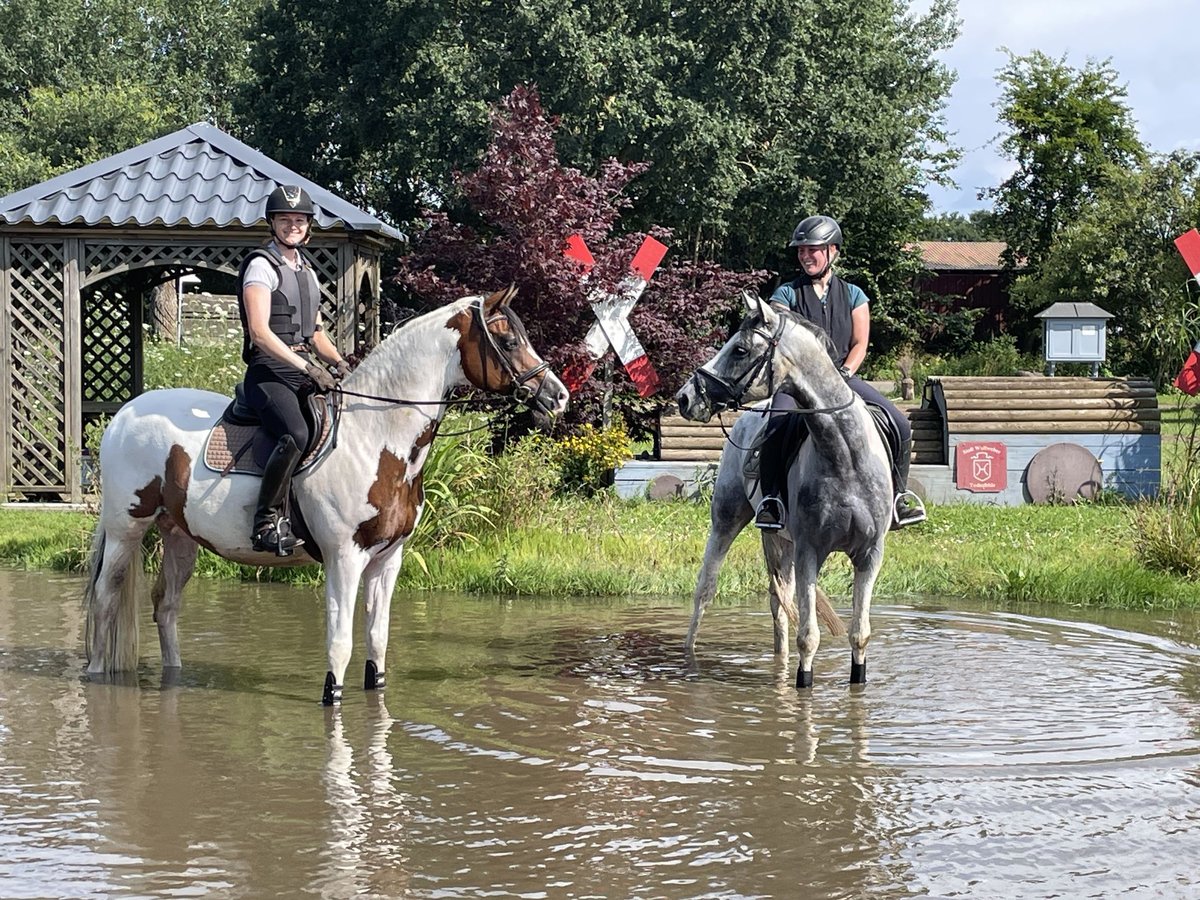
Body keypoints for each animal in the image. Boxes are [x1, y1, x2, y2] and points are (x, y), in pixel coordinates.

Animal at [83, 289, 566, 705]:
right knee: (106, 599)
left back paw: (175, 676)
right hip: (127, 529)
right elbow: (340, 645)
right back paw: (97, 673)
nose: (558, 396)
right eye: (508, 340)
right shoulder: (344, 559)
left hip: (180, 535)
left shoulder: (387, 559)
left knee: (166, 607)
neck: (376, 438)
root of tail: (123, 413)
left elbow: (377, 644)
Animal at [676, 292, 892, 686]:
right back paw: (689, 657)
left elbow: (860, 634)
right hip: (727, 522)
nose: (684, 397)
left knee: (778, 603)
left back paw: (778, 661)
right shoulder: (810, 551)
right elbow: (809, 638)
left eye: (740, 349)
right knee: (705, 590)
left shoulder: (870, 554)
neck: (844, 456)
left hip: (780, 540)